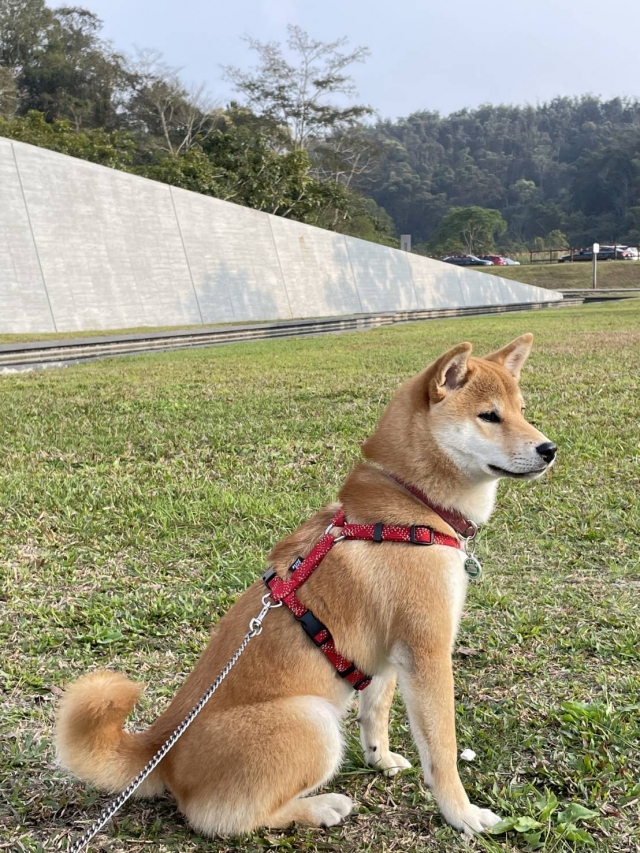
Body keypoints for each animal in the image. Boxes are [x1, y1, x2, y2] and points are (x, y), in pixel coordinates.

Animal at [55, 336, 556, 836]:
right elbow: (442, 752)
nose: (550, 448)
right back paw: (320, 807)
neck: (412, 506)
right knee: (224, 818)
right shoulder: (427, 652)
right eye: (489, 416)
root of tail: (161, 748)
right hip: (313, 720)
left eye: (522, 410)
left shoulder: (389, 655)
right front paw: (462, 814)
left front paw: (380, 759)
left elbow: (375, 712)